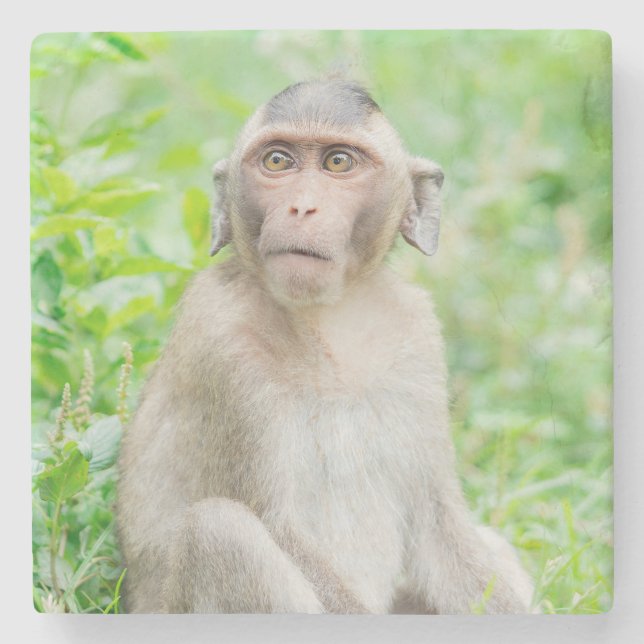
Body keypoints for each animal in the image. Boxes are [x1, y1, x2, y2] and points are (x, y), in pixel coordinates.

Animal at [116, 79, 534, 614]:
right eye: (277, 161)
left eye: (338, 163)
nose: (302, 207)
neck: (328, 321)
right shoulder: (220, 343)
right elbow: (277, 526)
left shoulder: (418, 334)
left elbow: (441, 527)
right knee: (220, 531)